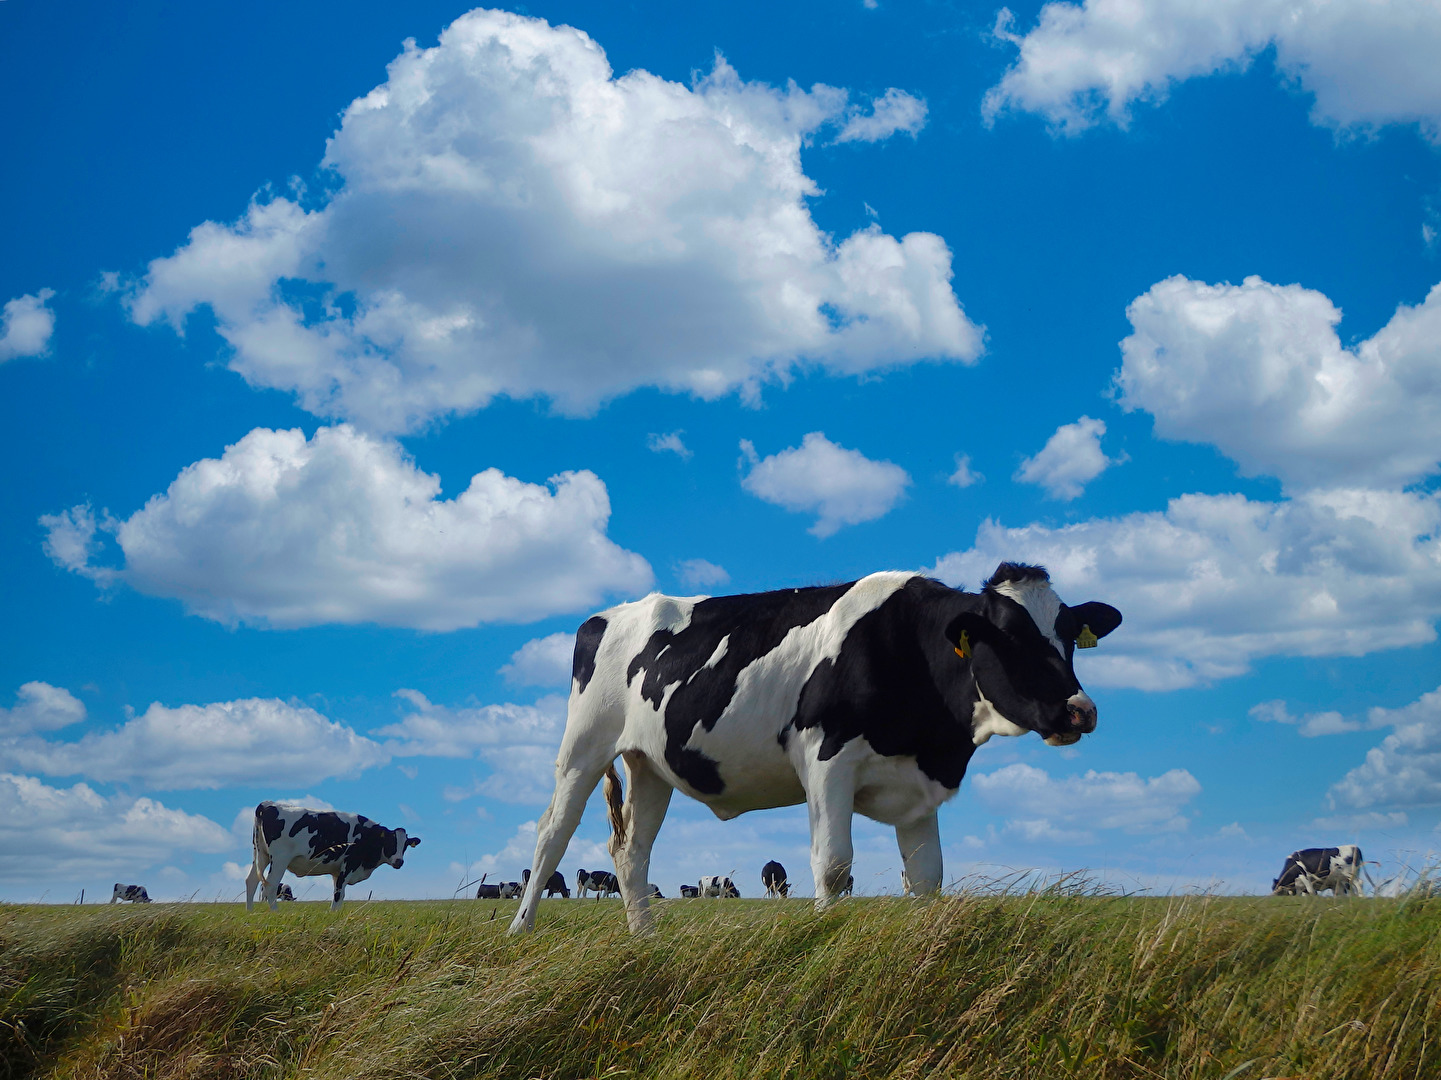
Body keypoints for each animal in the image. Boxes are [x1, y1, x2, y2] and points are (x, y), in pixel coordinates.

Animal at [243, 801, 420, 911]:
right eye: (390, 842)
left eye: (405, 845)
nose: (399, 861)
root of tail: (268, 804)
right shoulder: (348, 865)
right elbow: (339, 894)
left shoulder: (337, 871)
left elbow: (339, 894)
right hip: (280, 858)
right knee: (270, 885)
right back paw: (275, 912)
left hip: (261, 853)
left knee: (251, 881)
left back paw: (250, 911)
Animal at [510, 559, 1123, 928]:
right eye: (1012, 636)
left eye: (1069, 637)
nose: (1081, 710)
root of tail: (607, 615)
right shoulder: (827, 760)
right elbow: (833, 865)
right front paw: (820, 939)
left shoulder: (917, 782)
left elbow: (927, 877)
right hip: (583, 746)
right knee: (552, 834)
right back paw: (522, 929)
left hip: (651, 765)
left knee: (632, 851)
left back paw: (645, 939)